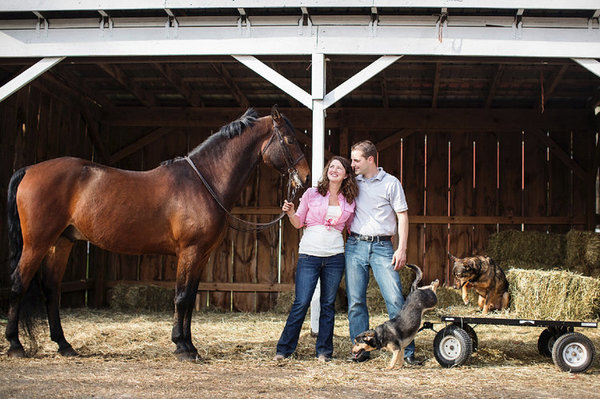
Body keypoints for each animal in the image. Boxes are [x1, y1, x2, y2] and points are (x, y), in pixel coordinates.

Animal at [5, 106, 310, 362]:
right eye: (290, 140)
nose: (305, 176)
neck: (204, 182)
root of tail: (29, 170)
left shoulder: (201, 255)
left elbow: (190, 297)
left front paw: (189, 344)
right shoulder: (190, 251)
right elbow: (182, 297)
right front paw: (183, 347)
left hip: (61, 243)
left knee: (51, 290)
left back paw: (64, 345)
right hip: (36, 243)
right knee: (19, 283)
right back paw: (15, 345)